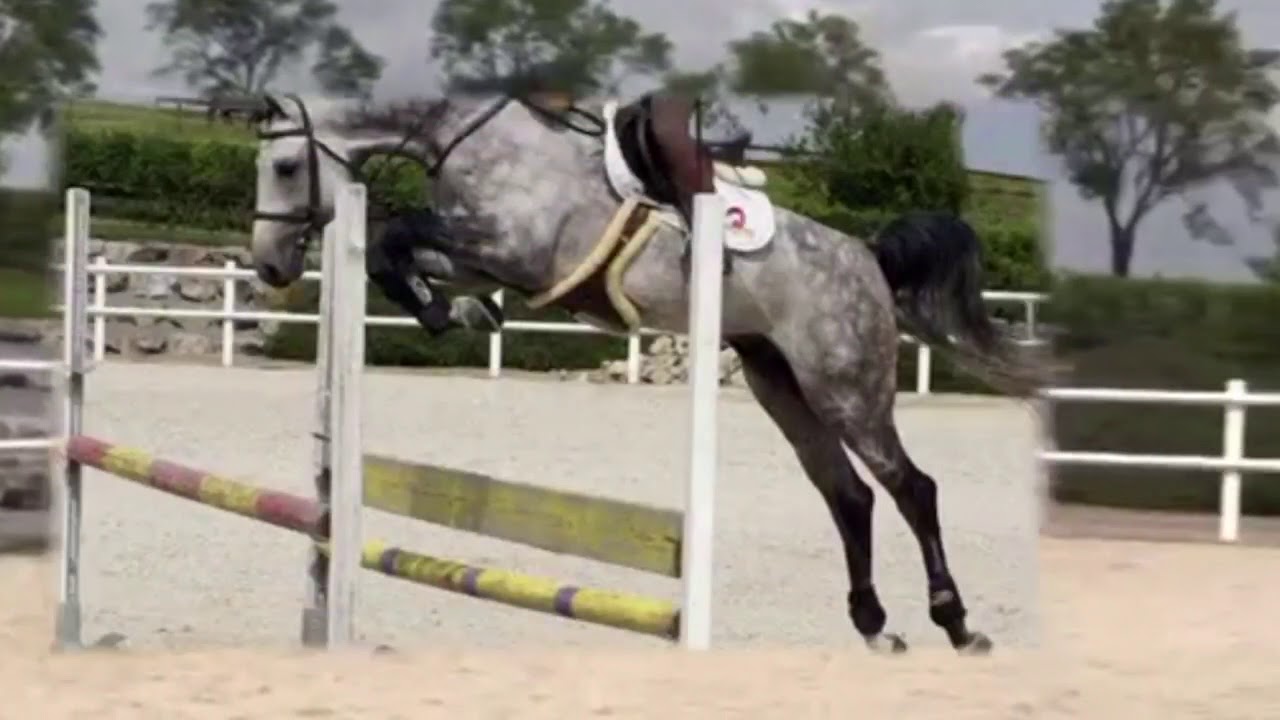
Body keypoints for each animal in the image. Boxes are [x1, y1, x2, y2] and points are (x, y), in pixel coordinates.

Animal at [245, 89, 1045, 655]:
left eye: (285, 168)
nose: (270, 267)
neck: (470, 141)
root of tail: (869, 258)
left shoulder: (517, 252)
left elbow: (398, 235)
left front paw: (447, 314)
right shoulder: (484, 258)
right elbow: (396, 252)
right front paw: (458, 313)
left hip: (846, 386)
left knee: (912, 488)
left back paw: (957, 623)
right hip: (781, 386)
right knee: (848, 495)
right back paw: (875, 624)